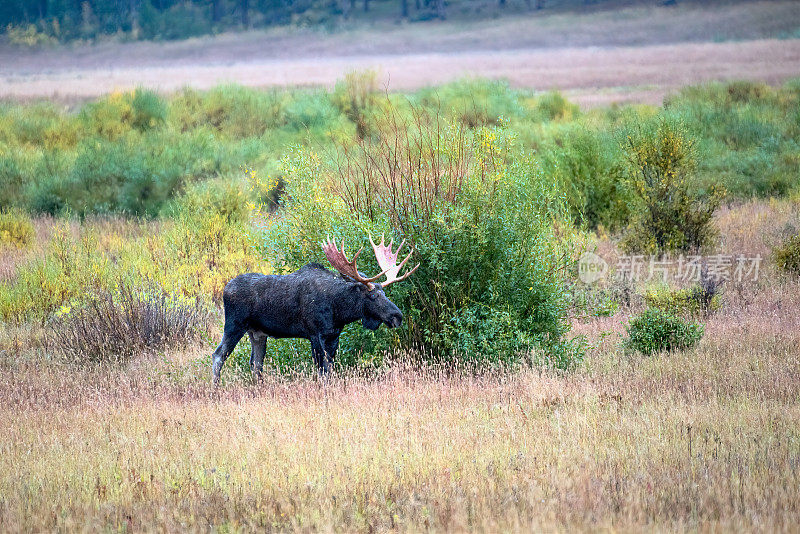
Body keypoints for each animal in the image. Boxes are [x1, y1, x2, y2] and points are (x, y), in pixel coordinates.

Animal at [209, 236, 422, 386]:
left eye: (384, 292)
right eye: (373, 295)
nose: (397, 316)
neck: (339, 310)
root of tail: (225, 289)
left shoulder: (333, 336)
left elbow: (331, 369)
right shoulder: (315, 334)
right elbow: (323, 371)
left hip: (257, 333)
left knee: (255, 363)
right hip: (234, 325)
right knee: (218, 355)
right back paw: (216, 390)